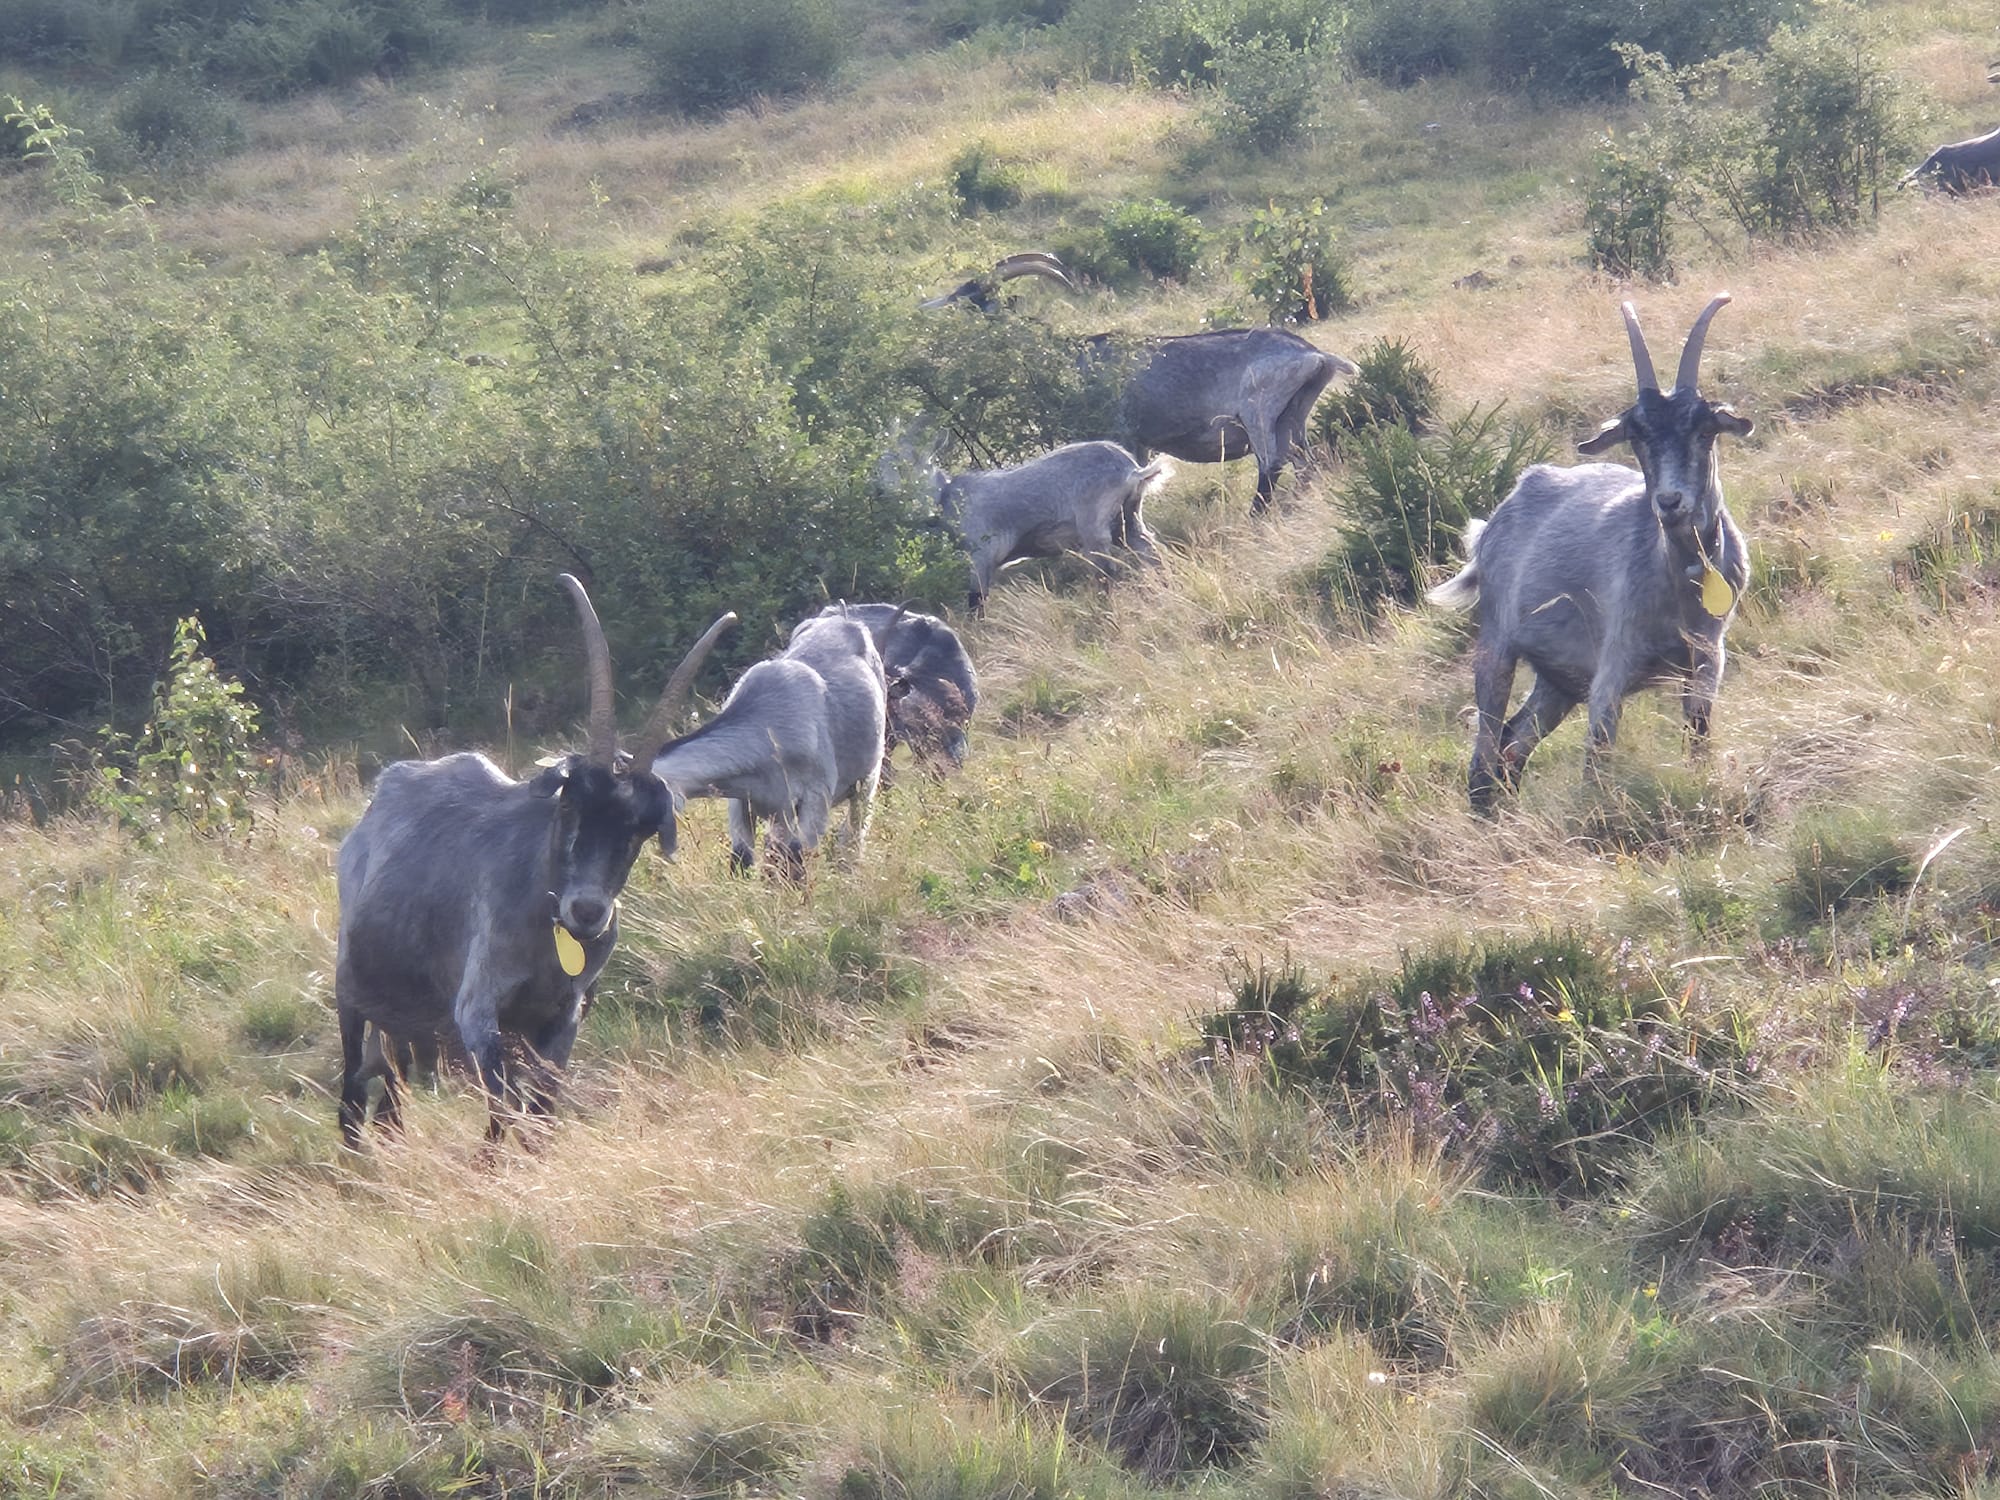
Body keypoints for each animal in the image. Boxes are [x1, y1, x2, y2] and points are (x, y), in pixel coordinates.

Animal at [334, 577, 733, 1146]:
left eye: (639, 828)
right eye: (569, 805)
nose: (587, 911)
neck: (548, 931)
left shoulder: (562, 1019)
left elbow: (539, 1115)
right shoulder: (478, 1013)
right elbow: (504, 1113)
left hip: (406, 1025)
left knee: (390, 1095)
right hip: (352, 995)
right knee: (350, 1098)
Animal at [648, 609, 893, 874]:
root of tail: (844, 620)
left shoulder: (815, 800)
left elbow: (796, 862)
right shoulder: (742, 804)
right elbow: (743, 860)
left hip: (865, 783)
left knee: (853, 835)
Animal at [1427, 293, 1754, 814]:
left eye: (1704, 430)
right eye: (1637, 436)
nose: (1669, 502)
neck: (1683, 580)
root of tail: (1495, 522)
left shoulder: (1706, 662)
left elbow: (1698, 741)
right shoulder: (1611, 670)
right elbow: (1596, 762)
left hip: (1559, 678)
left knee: (1514, 742)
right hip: (1497, 645)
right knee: (1485, 754)